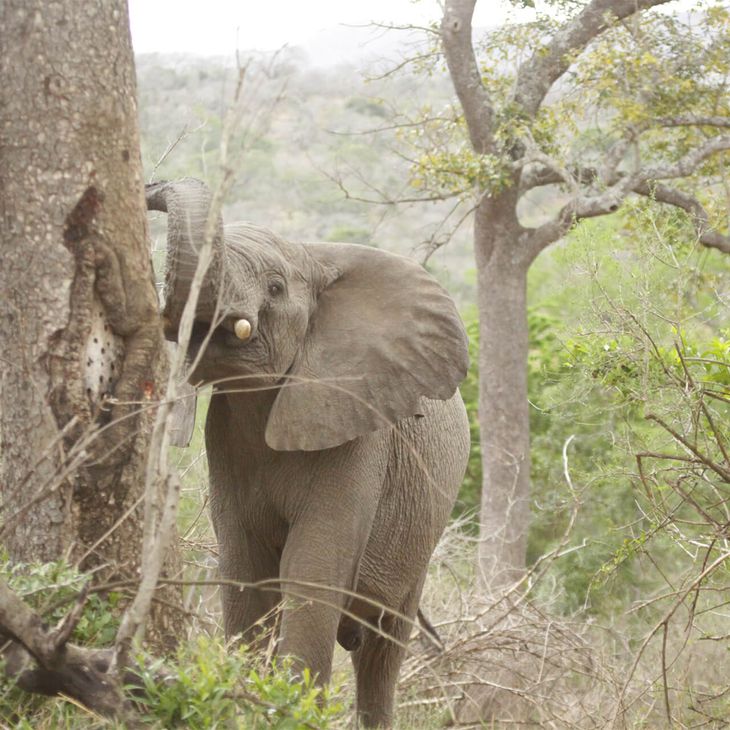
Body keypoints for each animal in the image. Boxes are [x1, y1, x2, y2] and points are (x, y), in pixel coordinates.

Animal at [145, 178, 470, 728]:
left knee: (381, 651)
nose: (152, 187)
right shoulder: (225, 442)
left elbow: (311, 573)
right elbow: (245, 574)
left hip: (420, 535)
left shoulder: (358, 437)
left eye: (276, 287)